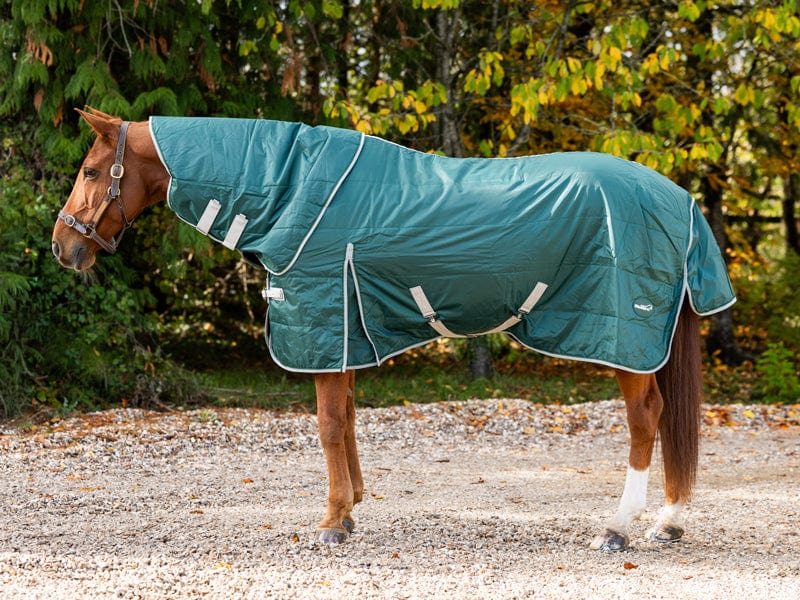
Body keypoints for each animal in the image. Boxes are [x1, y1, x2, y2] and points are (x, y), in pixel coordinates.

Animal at [52, 108, 735, 550]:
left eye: (90, 171)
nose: (63, 246)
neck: (292, 188)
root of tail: (679, 199)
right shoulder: (346, 330)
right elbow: (349, 419)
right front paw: (351, 508)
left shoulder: (324, 321)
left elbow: (329, 425)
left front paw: (332, 522)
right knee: (666, 420)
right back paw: (668, 522)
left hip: (625, 342)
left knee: (646, 418)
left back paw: (618, 529)